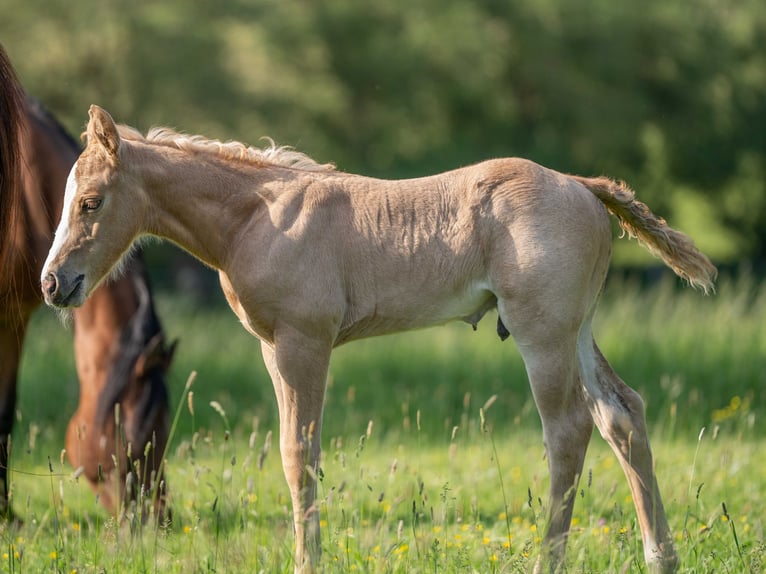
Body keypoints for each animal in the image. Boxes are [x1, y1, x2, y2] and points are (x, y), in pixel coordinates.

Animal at [42, 106, 716, 572]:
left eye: (91, 202)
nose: (53, 283)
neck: (256, 216)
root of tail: (582, 185)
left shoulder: (302, 342)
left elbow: (299, 455)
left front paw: (306, 563)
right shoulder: (272, 348)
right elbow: (297, 454)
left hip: (543, 334)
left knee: (569, 431)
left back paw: (547, 561)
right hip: (576, 329)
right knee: (622, 414)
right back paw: (661, 556)